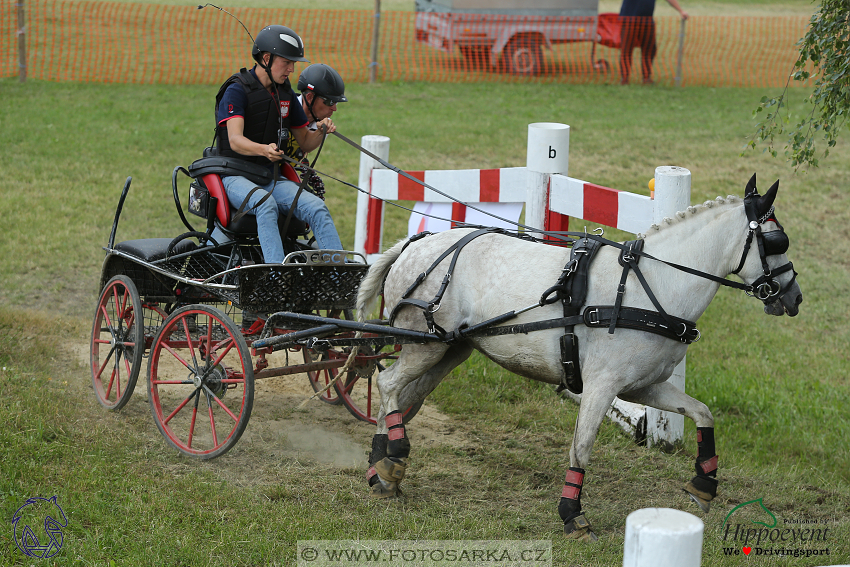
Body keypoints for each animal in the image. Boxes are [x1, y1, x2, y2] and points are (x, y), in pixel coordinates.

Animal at [354, 176, 800, 540]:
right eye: (776, 242)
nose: (793, 297)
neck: (653, 287)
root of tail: (414, 244)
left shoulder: (643, 387)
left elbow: (703, 413)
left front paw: (704, 485)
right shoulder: (603, 385)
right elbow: (581, 446)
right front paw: (573, 514)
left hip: (449, 349)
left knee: (404, 397)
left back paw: (382, 466)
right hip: (426, 345)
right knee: (388, 384)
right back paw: (393, 457)